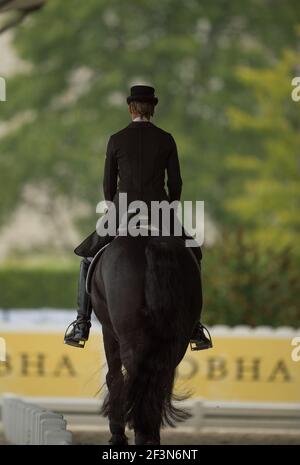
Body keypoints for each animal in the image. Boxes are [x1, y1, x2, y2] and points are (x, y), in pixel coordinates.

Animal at [91, 234, 202, 444]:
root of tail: (155, 243)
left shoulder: (108, 331)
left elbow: (114, 378)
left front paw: (117, 434)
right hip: (175, 343)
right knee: (157, 384)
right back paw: (149, 436)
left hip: (130, 339)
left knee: (134, 381)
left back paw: (139, 433)